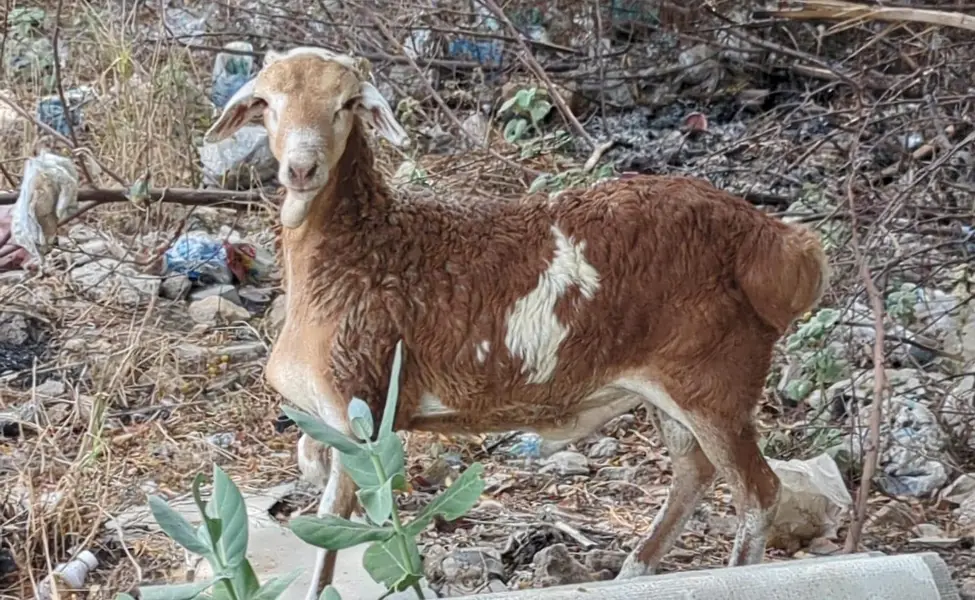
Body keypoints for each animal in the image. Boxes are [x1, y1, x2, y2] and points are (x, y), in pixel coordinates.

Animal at [203, 46, 829, 597]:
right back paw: (635, 570)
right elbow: (311, 467)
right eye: (267, 103)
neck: (362, 250)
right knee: (692, 473)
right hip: (670, 384)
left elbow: (330, 536)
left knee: (758, 493)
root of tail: (777, 242)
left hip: (716, 377)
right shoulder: (332, 414)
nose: (301, 168)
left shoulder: (363, 410)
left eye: (347, 104)